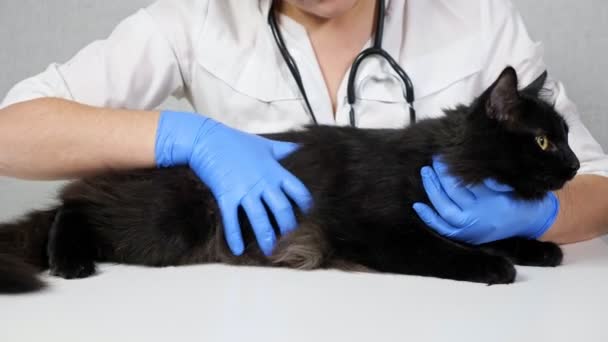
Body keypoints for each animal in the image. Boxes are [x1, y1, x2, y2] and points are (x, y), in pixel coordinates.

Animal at [0, 67, 580, 294]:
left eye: (568, 137)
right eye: (542, 142)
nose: (575, 166)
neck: (445, 160)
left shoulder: (461, 217)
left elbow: (493, 230)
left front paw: (538, 245)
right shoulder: (376, 228)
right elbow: (444, 250)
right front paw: (494, 266)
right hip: (167, 222)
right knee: (71, 207)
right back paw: (70, 261)